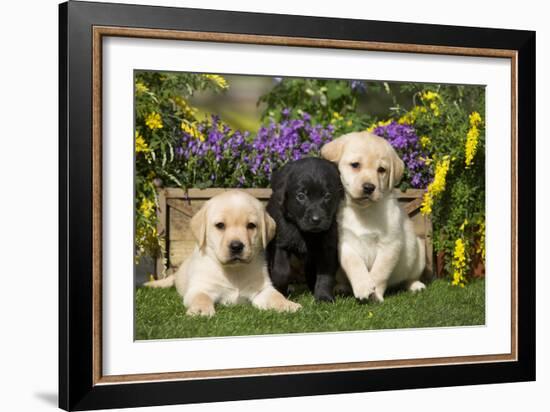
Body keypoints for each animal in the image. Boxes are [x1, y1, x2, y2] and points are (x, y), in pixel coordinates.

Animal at [146, 190, 302, 316]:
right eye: (220, 225)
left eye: (251, 225)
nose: (236, 246)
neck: (234, 270)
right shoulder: (200, 288)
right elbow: (201, 297)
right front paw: (201, 310)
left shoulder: (262, 290)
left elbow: (276, 296)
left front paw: (287, 305)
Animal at [268, 156, 344, 300]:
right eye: (301, 196)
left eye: (327, 196)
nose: (316, 219)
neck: (306, 233)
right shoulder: (280, 243)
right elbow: (281, 271)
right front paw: (280, 292)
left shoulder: (327, 247)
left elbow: (325, 274)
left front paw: (323, 297)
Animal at [322, 132, 430, 302]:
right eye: (355, 165)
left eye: (381, 170)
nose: (369, 187)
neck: (364, 210)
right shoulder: (345, 243)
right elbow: (354, 264)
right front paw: (363, 286)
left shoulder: (390, 245)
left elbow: (380, 272)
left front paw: (375, 294)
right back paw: (341, 288)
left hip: (418, 252)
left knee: (409, 277)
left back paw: (415, 285)